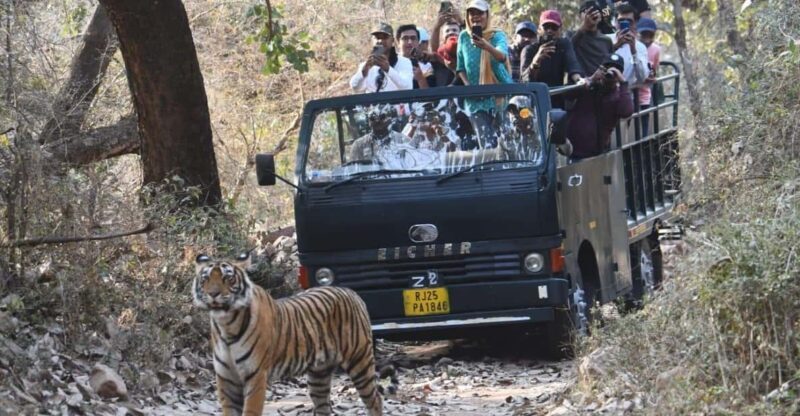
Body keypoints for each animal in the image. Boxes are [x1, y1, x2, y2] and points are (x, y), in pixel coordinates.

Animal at [193, 253, 383, 416]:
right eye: (205, 279)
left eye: (228, 278)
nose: (213, 294)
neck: (226, 324)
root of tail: (352, 292)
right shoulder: (226, 379)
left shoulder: (256, 376)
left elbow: (250, 410)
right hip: (319, 376)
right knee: (324, 406)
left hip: (360, 361)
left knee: (375, 400)